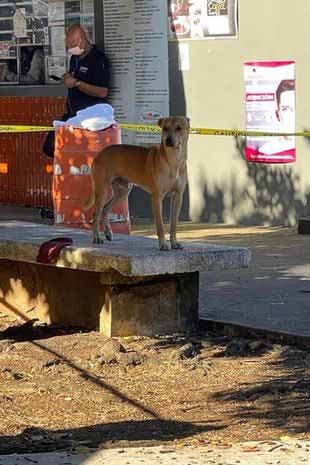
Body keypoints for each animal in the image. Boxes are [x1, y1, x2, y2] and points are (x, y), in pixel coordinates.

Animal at [86, 117, 190, 250]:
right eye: (165, 128)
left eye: (179, 128)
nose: (168, 140)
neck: (173, 161)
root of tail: (100, 153)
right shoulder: (157, 197)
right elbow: (160, 225)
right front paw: (162, 244)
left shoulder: (177, 197)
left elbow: (174, 224)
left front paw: (174, 242)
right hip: (102, 191)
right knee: (96, 214)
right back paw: (96, 238)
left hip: (123, 191)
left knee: (105, 209)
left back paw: (108, 233)